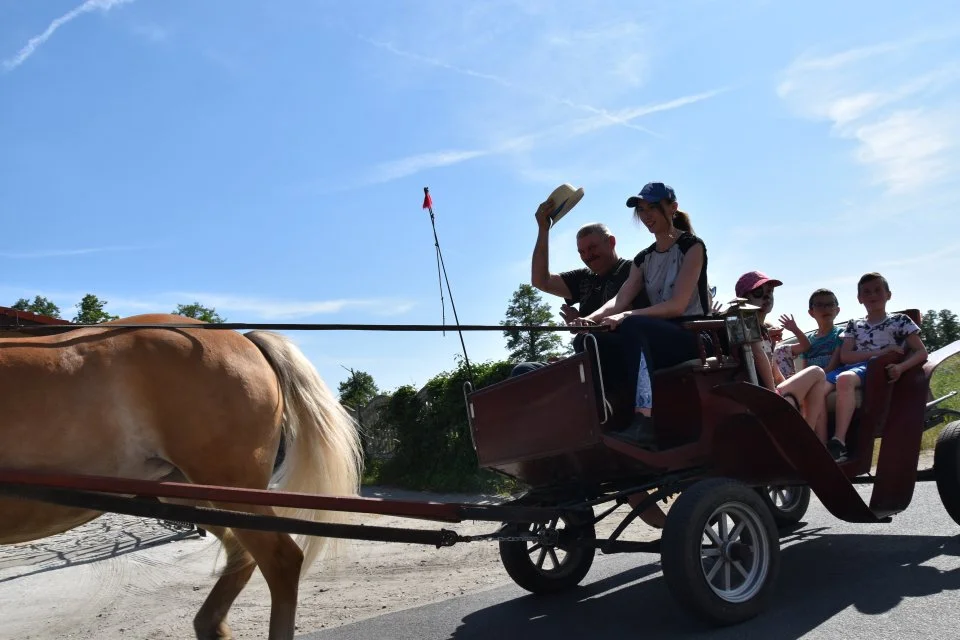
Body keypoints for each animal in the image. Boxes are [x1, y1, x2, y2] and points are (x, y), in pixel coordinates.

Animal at [0, 316, 364, 640]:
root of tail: (245, 340)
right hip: (192, 494)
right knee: (242, 553)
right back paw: (211, 625)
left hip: (231, 486)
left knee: (281, 560)